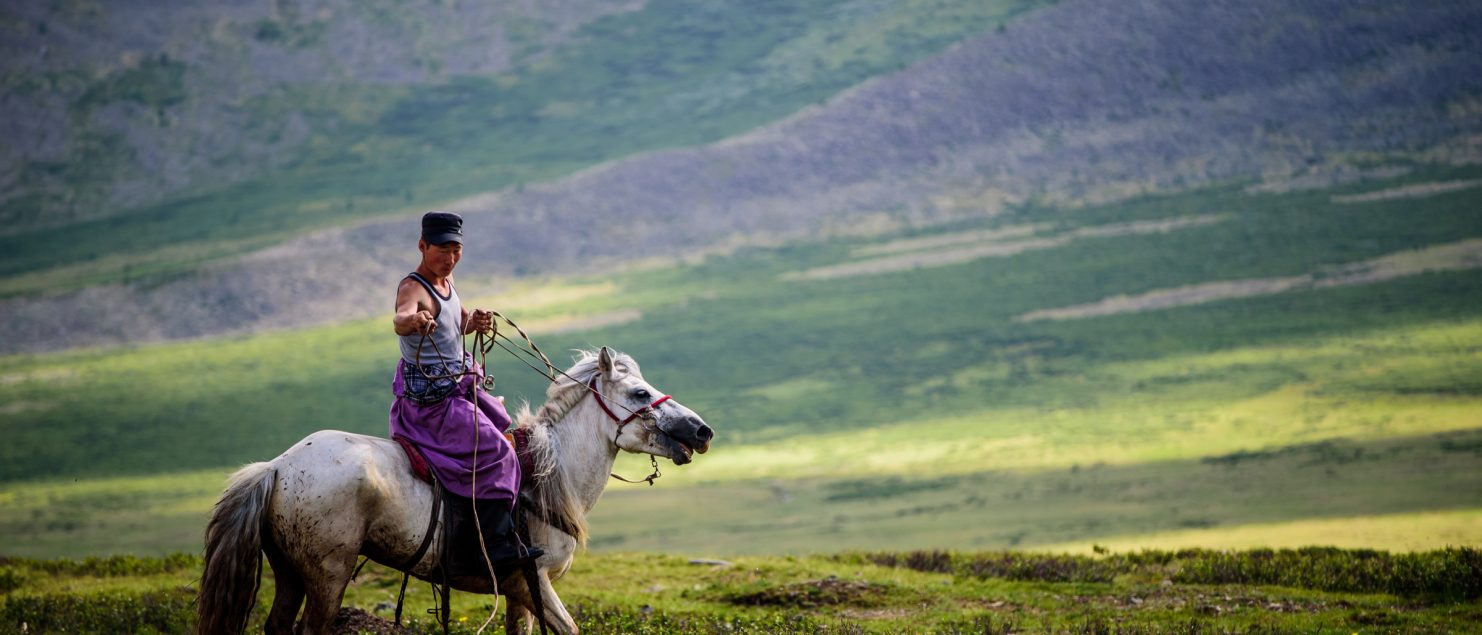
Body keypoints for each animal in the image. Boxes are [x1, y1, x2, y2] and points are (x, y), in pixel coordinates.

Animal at [195, 350, 711, 632]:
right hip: (328, 574)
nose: (702, 430)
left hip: (290, 571)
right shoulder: (535, 582)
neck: (547, 477)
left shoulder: (520, 594)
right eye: (641, 394)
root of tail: (276, 467)